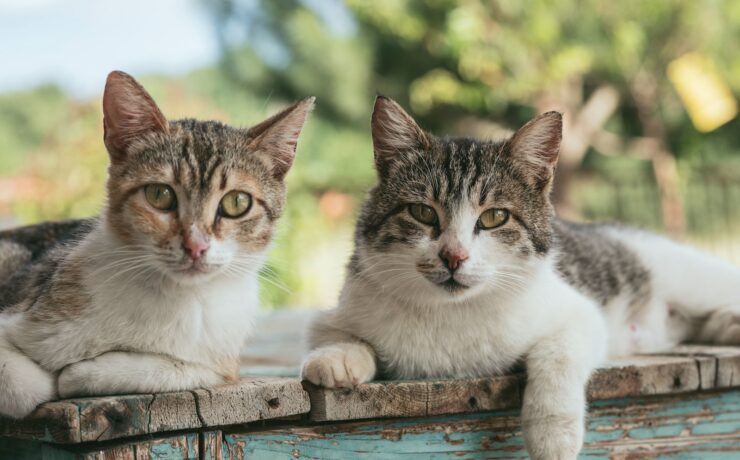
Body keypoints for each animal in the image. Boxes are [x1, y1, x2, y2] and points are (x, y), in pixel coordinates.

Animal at [0, 72, 314, 420]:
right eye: (159, 195)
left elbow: (181, 368)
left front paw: (82, 372)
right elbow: (25, 386)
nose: (195, 246)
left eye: (237, 202)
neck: (171, 298)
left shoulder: (221, 361)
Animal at [300, 96, 740, 456]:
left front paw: (553, 432)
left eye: (495, 217)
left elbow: (557, 355)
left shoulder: (579, 313)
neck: (452, 314)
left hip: (688, 275)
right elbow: (335, 334)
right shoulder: (343, 304)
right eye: (422, 212)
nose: (453, 256)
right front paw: (337, 357)